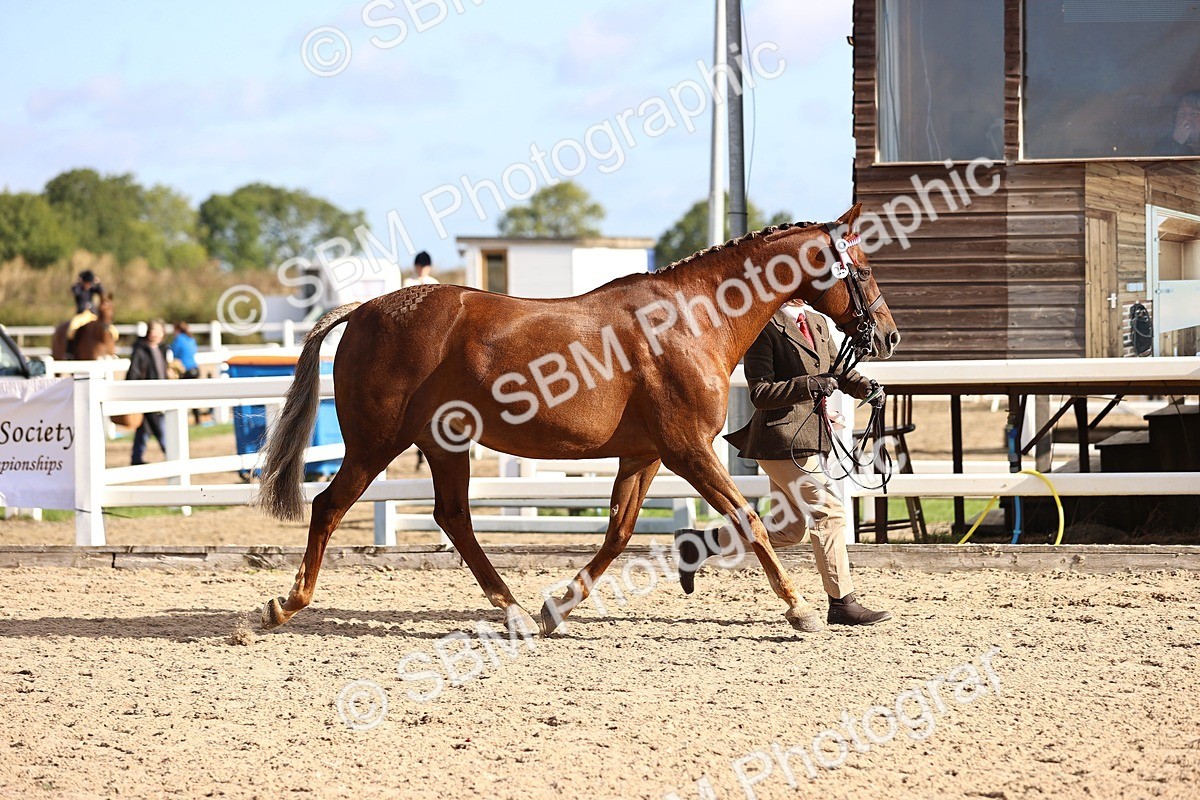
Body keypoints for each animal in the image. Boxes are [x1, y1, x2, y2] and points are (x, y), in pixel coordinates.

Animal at [254, 205, 900, 637]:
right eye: (863, 267)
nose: (890, 336)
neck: (693, 320)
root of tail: (366, 308)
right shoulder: (689, 449)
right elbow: (751, 521)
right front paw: (800, 610)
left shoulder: (645, 454)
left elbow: (618, 532)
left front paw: (556, 607)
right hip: (376, 443)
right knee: (329, 507)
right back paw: (283, 605)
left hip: (445, 444)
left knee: (454, 518)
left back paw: (515, 611)